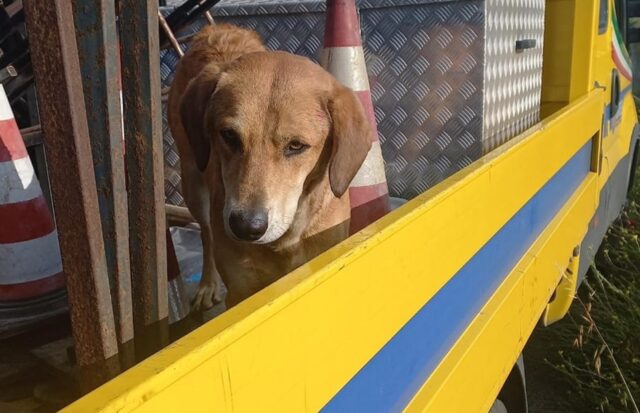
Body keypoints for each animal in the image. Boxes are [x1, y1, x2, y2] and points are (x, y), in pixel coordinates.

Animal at [168, 24, 372, 308]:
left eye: (296, 145)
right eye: (229, 135)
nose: (245, 227)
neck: (285, 238)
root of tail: (217, 29)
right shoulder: (241, 292)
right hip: (192, 183)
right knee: (205, 233)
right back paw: (207, 284)